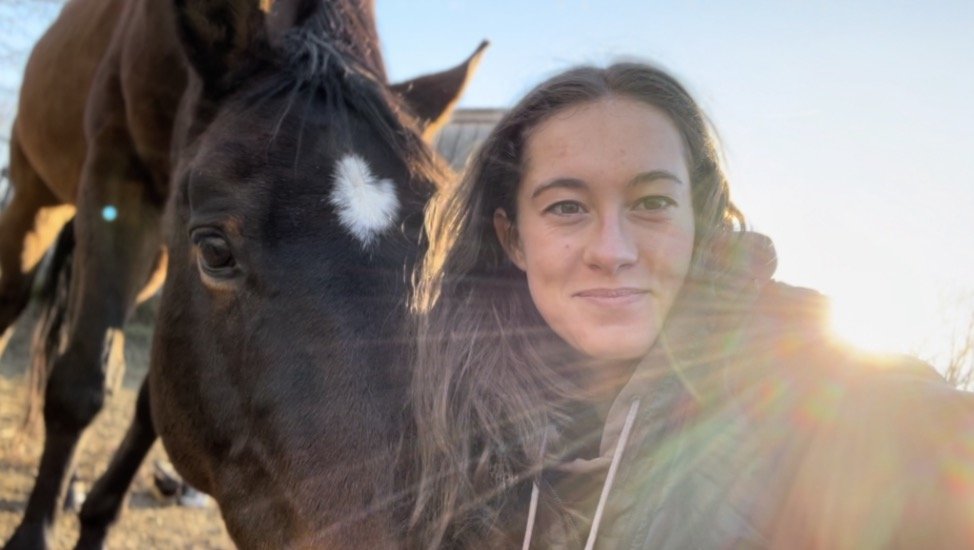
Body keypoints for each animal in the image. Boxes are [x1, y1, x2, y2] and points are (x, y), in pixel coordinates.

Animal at [1, 0, 484, 547]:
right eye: (214, 250)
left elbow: (146, 400)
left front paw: (98, 516)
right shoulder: (115, 176)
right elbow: (82, 382)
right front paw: (34, 532)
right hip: (36, 195)